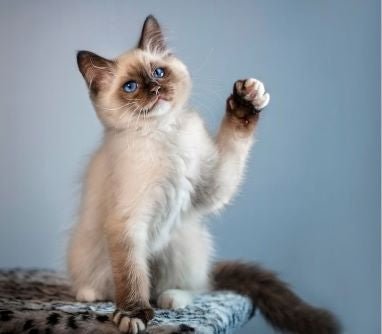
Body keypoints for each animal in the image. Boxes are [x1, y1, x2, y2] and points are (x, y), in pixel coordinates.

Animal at [66, 15, 340, 334]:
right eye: (131, 87)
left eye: (159, 72)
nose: (155, 88)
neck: (164, 131)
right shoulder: (128, 221)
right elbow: (132, 277)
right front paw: (133, 315)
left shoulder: (209, 185)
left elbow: (233, 145)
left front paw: (246, 100)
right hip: (92, 249)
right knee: (117, 286)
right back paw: (89, 293)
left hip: (183, 241)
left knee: (190, 286)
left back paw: (173, 298)